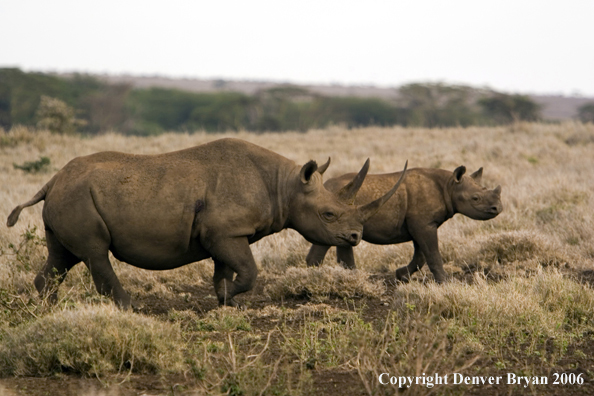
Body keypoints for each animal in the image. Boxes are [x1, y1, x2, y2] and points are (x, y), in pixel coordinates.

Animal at [6, 139, 404, 310]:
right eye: (329, 214)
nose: (355, 237)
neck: (285, 185)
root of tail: (51, 181)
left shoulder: (224, 233)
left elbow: (225, 269)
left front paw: (225, 300)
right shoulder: (226, 232)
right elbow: (249, 271)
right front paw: (229, 297)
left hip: (69, 198)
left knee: (63, 256)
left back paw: (47, 310)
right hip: (76, 198)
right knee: (95, 253)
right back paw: (131, 309)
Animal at [306, 166, 500, 284]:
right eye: (475, 198)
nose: (498, 208)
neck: (449, 185)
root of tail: (324, 186)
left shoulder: (422, 224)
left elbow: (421, 255)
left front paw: (401, 276)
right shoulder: (423, 224)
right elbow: (432, 254)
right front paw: (445, 282)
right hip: (331, 210)